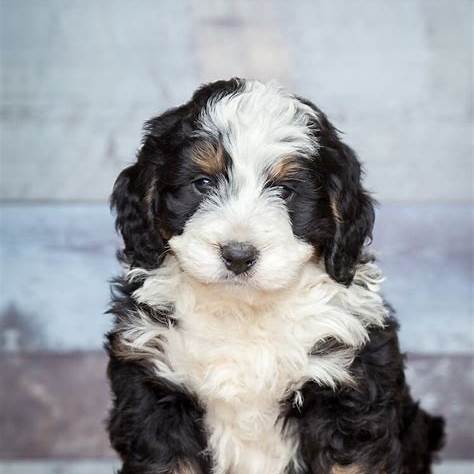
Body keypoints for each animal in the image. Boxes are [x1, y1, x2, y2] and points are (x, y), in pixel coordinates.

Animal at [105, 78, 446, 474]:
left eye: (285, 190)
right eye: (202, 183)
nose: (238, 256)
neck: (242, 314)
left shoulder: (349, 392)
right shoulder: (152, 386)